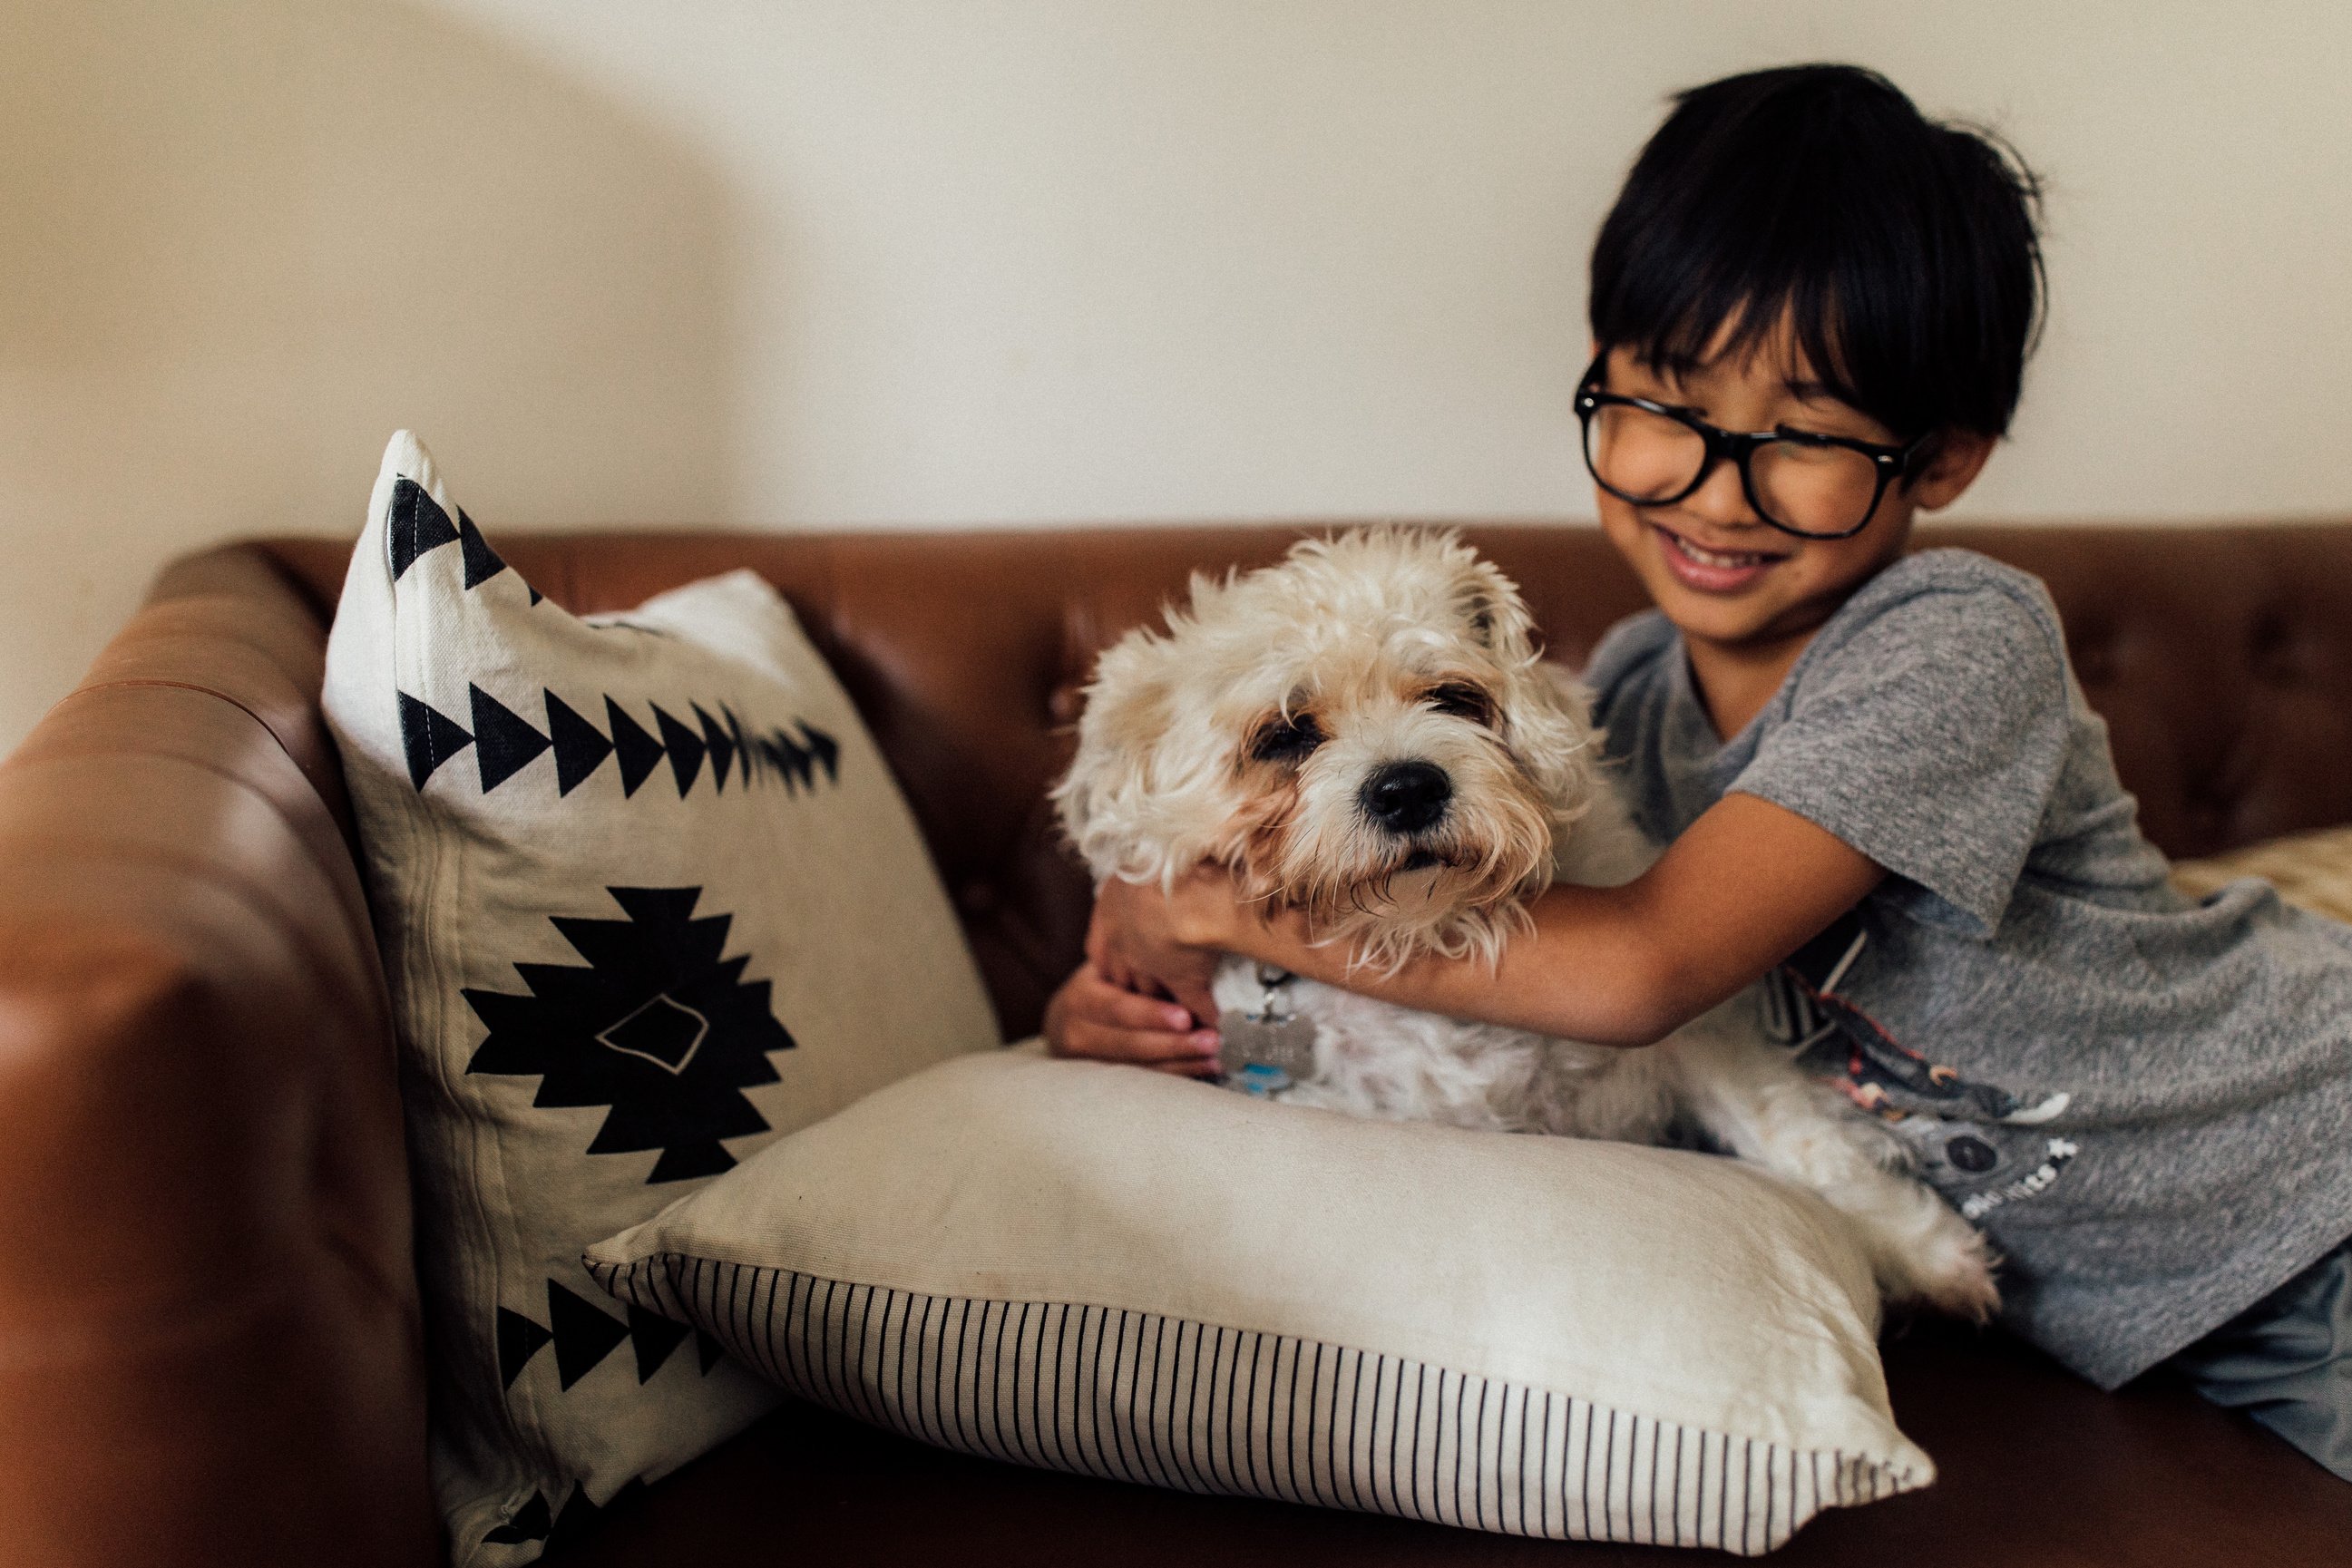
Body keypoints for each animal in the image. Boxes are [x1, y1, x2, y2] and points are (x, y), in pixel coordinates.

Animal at [1068, 533, 2004, 1316]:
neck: (1433, 933)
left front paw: (1926, 1251)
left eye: (1454, 696)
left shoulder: (1693, 1035)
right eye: (1285, 734)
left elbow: (1794, 1134)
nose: (1408, 787)